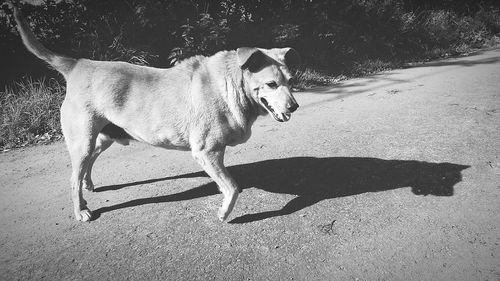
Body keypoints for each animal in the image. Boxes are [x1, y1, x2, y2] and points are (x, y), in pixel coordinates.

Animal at [12, 5, 300, 221]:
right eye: (271, 84)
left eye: (290, 81)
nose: (294, 107)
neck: (231, 83)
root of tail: (77, 65)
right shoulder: (206, 152)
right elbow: (232, 187)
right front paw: (224, 211)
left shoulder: (214, 154)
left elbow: (227, 182)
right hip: (82, 140)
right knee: (73, 177)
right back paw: (80, 209)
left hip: (102, 138)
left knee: (86, 166)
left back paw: (88, 185)